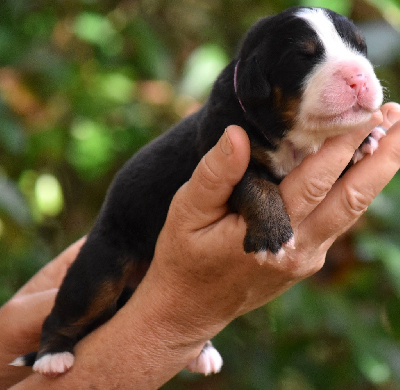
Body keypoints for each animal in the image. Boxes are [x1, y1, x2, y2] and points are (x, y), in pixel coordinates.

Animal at [10, 6, 382, 378]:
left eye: (361, 48)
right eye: (304, 57)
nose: (359, 78)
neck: (289, 139)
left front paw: (365, 139)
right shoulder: (225, 150)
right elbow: (255, 186)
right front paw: (271, 233)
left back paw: (201, 352)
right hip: (102, 265)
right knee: (69, 309)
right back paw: (52, 356)